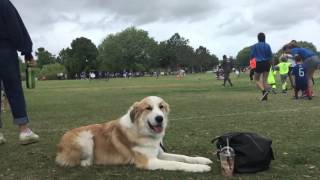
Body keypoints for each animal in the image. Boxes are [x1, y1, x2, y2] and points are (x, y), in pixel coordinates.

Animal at [55, 96, 212, 172]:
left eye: (161, 107)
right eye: (148, 108)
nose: (159, 118)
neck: (142, 131)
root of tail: (60, 143)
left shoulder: (159, 154)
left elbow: (183, 157)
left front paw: (202, 160)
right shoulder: (149, 161)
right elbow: (176, 163)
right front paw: (200, 168)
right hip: (86, 137)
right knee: (78, 161)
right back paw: (88, 162)